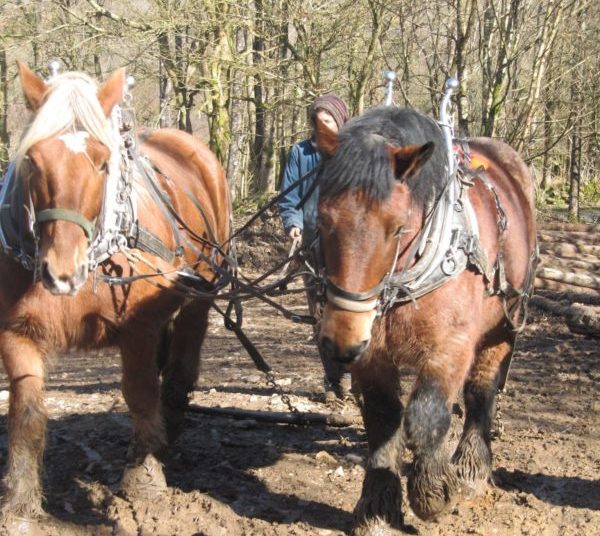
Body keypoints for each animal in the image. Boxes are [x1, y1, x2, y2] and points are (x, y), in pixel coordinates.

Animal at [0, 61, 230, 520]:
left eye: (102, 162)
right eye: (33, 160)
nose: (61, 272)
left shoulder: (139, 328)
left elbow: (139, 394)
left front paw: (144, 480)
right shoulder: (15, 332)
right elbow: (26, 413)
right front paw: (20, 500)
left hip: (202, 292)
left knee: (179, 367)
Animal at [316, 107, 536, 532]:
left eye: (398, 228)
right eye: (321, 220)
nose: (342, 339)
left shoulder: (451, 346)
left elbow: (425, 415)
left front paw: (434, 492)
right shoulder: (371, 354)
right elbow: (383, 417)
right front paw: (378, 507)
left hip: (503, 325)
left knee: (480, 390)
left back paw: (470, 468)